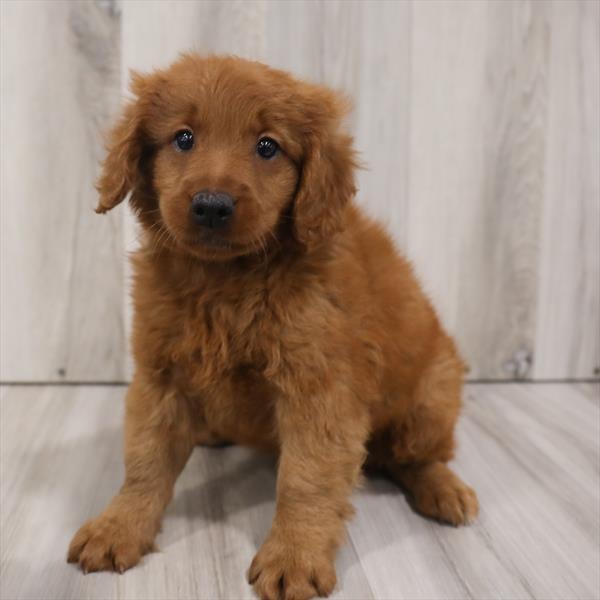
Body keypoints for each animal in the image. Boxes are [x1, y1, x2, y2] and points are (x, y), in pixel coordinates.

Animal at [67, 54, 478, 596]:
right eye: (183, 138)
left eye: (267, 146)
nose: (212, 205)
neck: (225, 281)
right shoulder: (159, 378)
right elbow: (144, 462)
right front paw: (118, 526)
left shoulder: (319, 391)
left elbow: (306, 481)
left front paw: (294, 557)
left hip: (429, 400)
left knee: (417, 456)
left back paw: (444, 489)